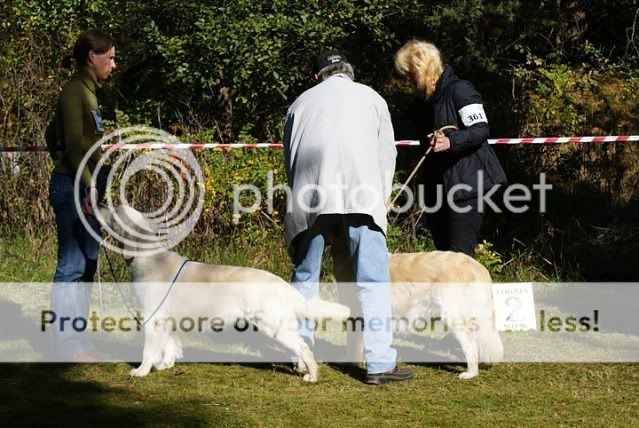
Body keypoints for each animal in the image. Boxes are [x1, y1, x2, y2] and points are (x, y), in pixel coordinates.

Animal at [97, 205, 350, 382]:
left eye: (115, 212)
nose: (98, 203)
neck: (148, 260)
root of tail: (280, 283)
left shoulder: (153, 318)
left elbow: (149, 349)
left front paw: (141, 370)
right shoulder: (167, 318)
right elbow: (170, 345)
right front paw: (166, 364)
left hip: (272, 325)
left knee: (304, 347)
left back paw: (312, 375)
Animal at [331, 239, 503, 379]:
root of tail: (477, 266)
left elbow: (353, 344)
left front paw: (349, 362)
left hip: (454, 315)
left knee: (470, 344)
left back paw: (470, 373)